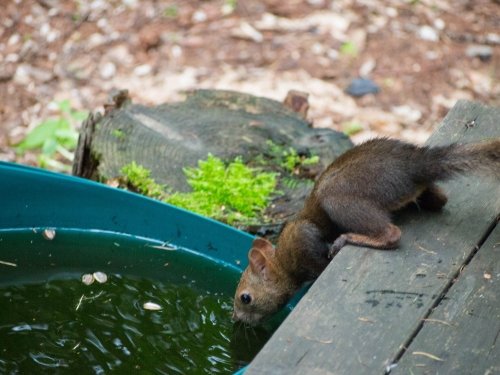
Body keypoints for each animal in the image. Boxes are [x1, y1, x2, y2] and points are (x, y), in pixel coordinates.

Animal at [233, 138, 500, 326]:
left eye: (245, 298)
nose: (235, 319)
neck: (283, 262)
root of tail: (415, 165)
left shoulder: (303, 240)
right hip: (420, 193)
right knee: (441, 200)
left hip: (340, 198)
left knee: (391, 233)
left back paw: (349, 238)